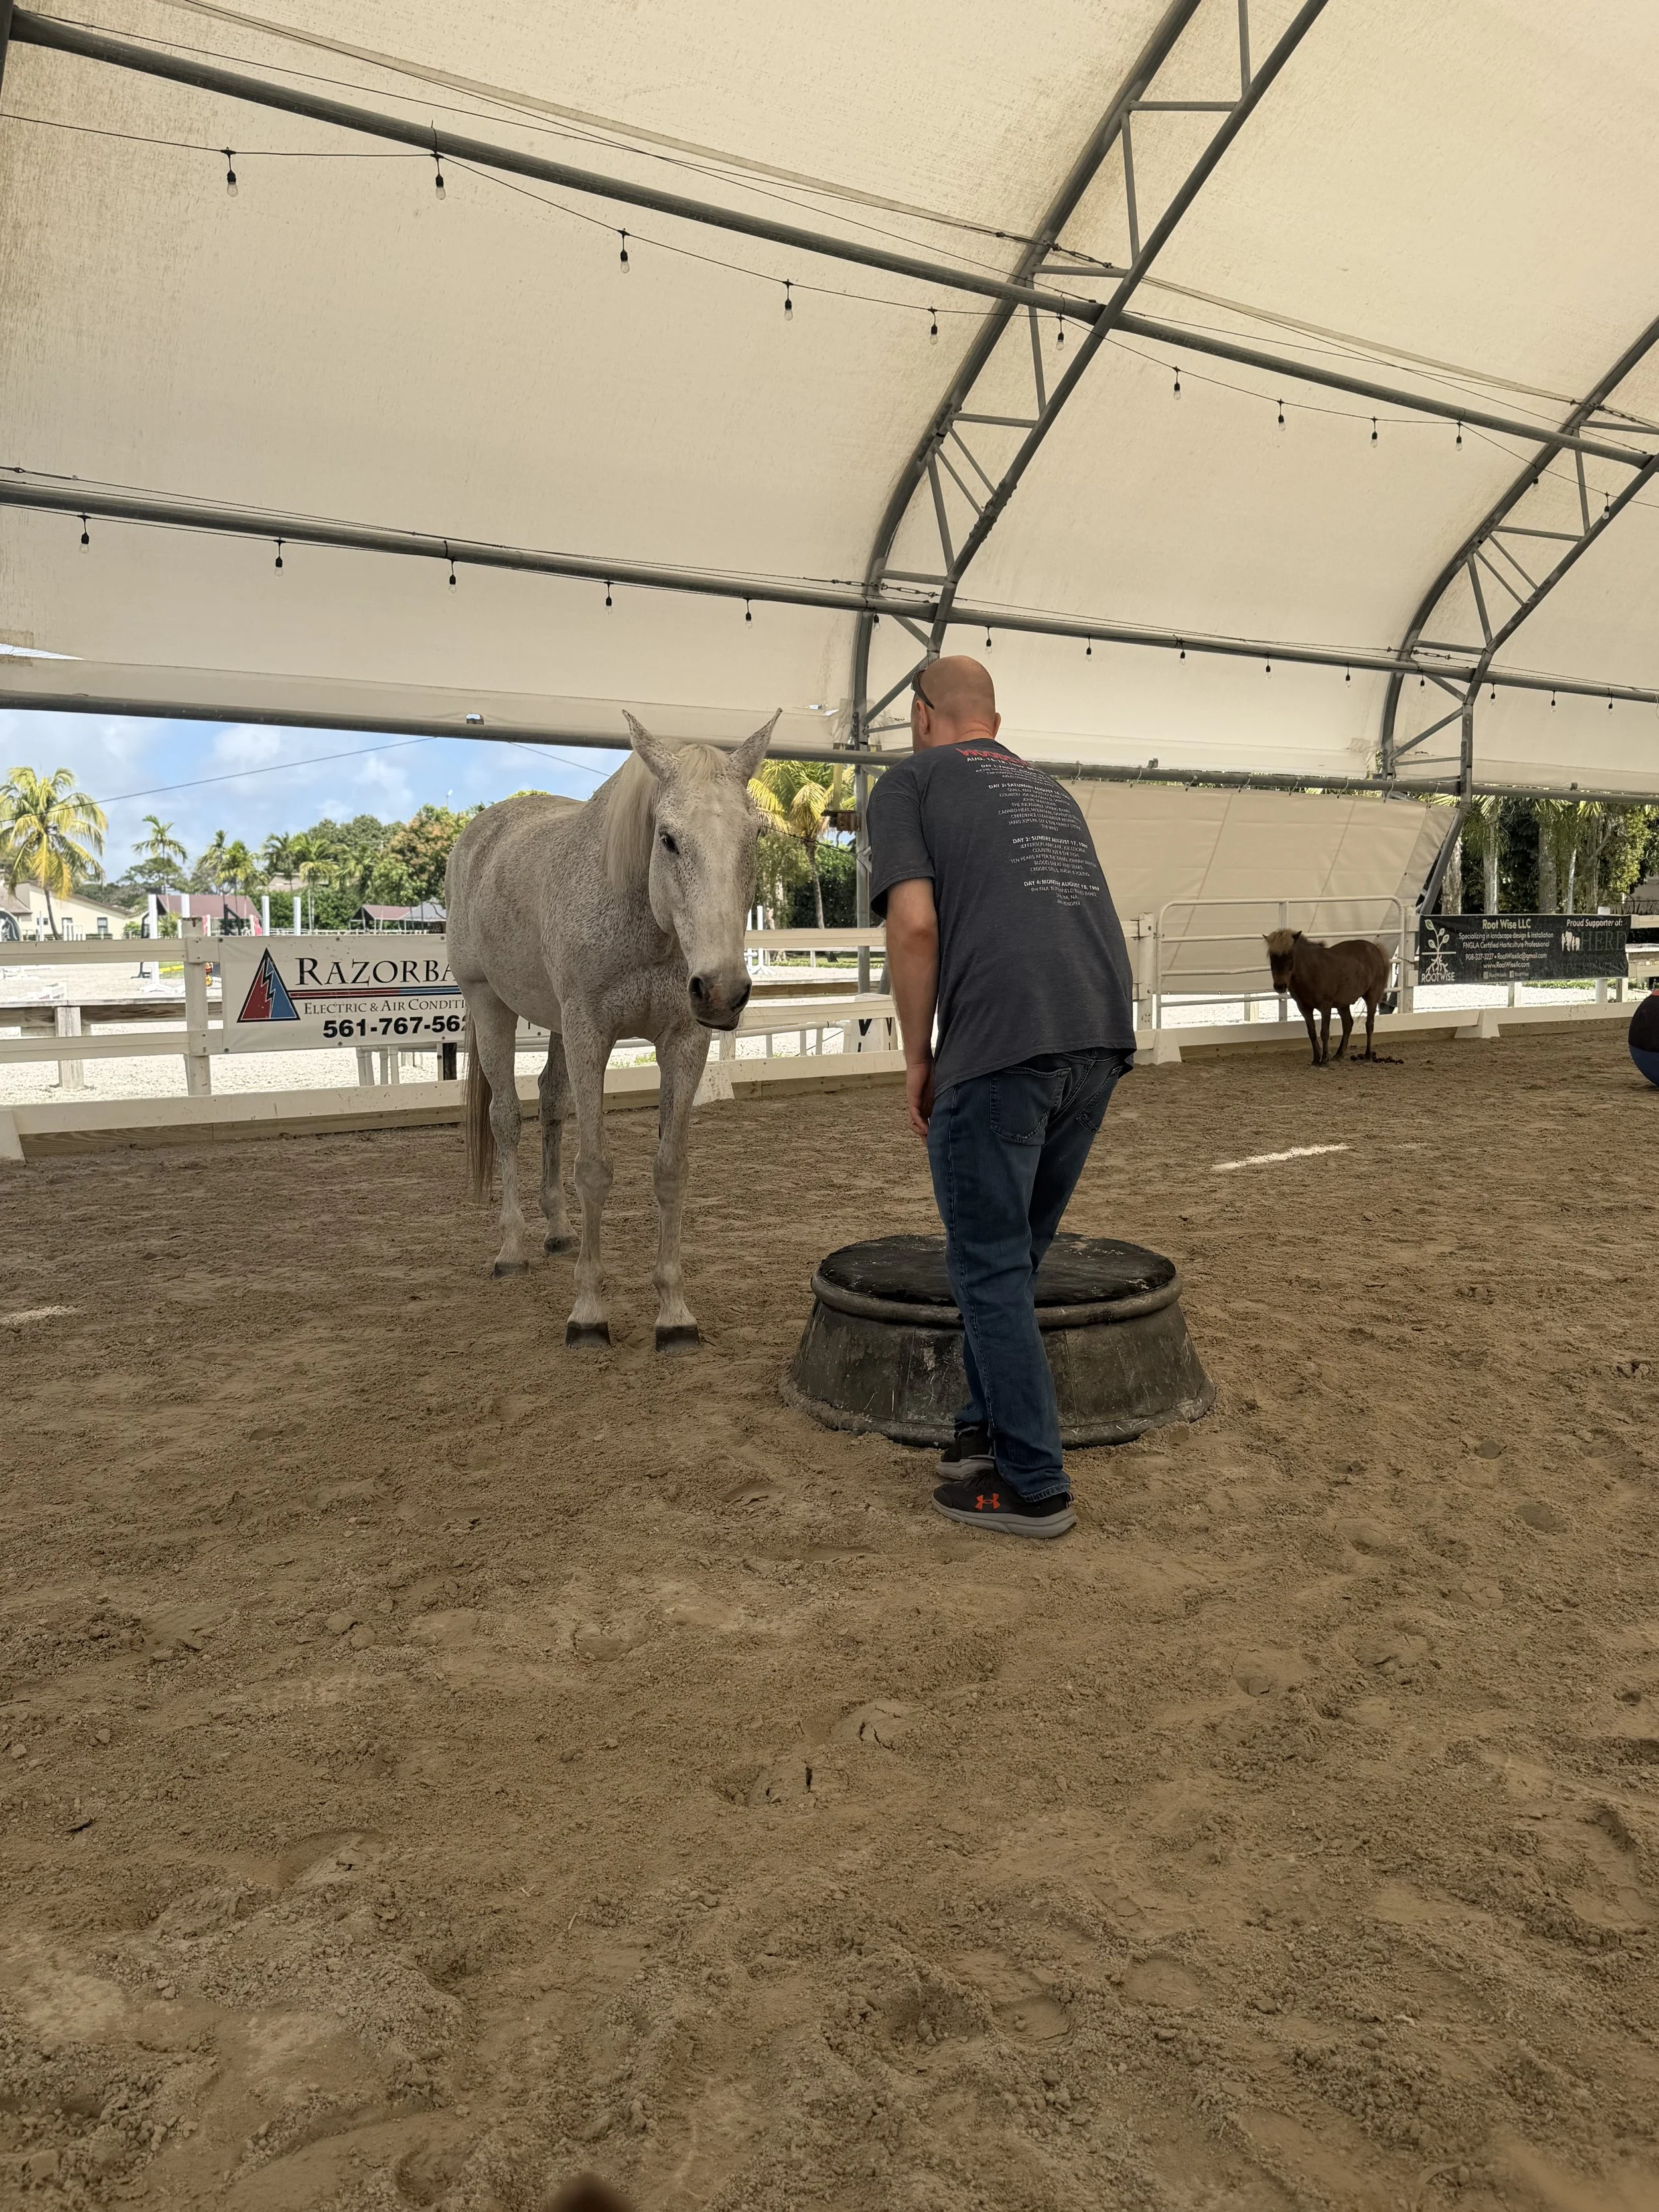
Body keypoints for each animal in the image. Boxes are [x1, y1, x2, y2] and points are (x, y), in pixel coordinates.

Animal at [445, 711, 776, 1349]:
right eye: (668, 837)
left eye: (756, 835)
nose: (722, 990)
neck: (643, 921)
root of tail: (481, 832)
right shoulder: (589, 1035)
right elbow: (594, 1170)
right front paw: (589, 1311)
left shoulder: (684, 1043)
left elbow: (670, 1170)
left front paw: (674, 1312)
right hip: (489, 1004)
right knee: (507, 1117)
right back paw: (512, 1249)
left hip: (553, 1023)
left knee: (551, 1100)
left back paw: (557, 1231)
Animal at [1264, 927, 1391, 1066]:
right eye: (1272, 958)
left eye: (1291, 956)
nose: (1280, 986)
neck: (1311, 971)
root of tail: (1375, 949)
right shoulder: (1304, 1008)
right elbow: (1312, 1033)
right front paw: (1316, 1059)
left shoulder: (1325, 1007)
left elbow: (1324, 1033)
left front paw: (1324, 1059)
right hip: (1343, 1004)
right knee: (1348, 1024)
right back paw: (1339, 1054)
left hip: (1371, 998)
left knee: (1369, 1025)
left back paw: (1368, 1056)